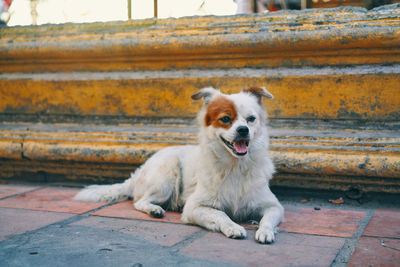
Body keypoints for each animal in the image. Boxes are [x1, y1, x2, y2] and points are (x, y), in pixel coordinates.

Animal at [75, 86, 284, 245]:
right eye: (225, 119)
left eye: (251, 119)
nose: (243, 130)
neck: (235, 166)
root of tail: (139, 172)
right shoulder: (194, 207)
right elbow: (221, 215)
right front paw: (233, 227)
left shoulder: (274, 206)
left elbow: (267, 219)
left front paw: (265, 231)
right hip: (167, 175)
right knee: (140, 201)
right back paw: (155, 209)